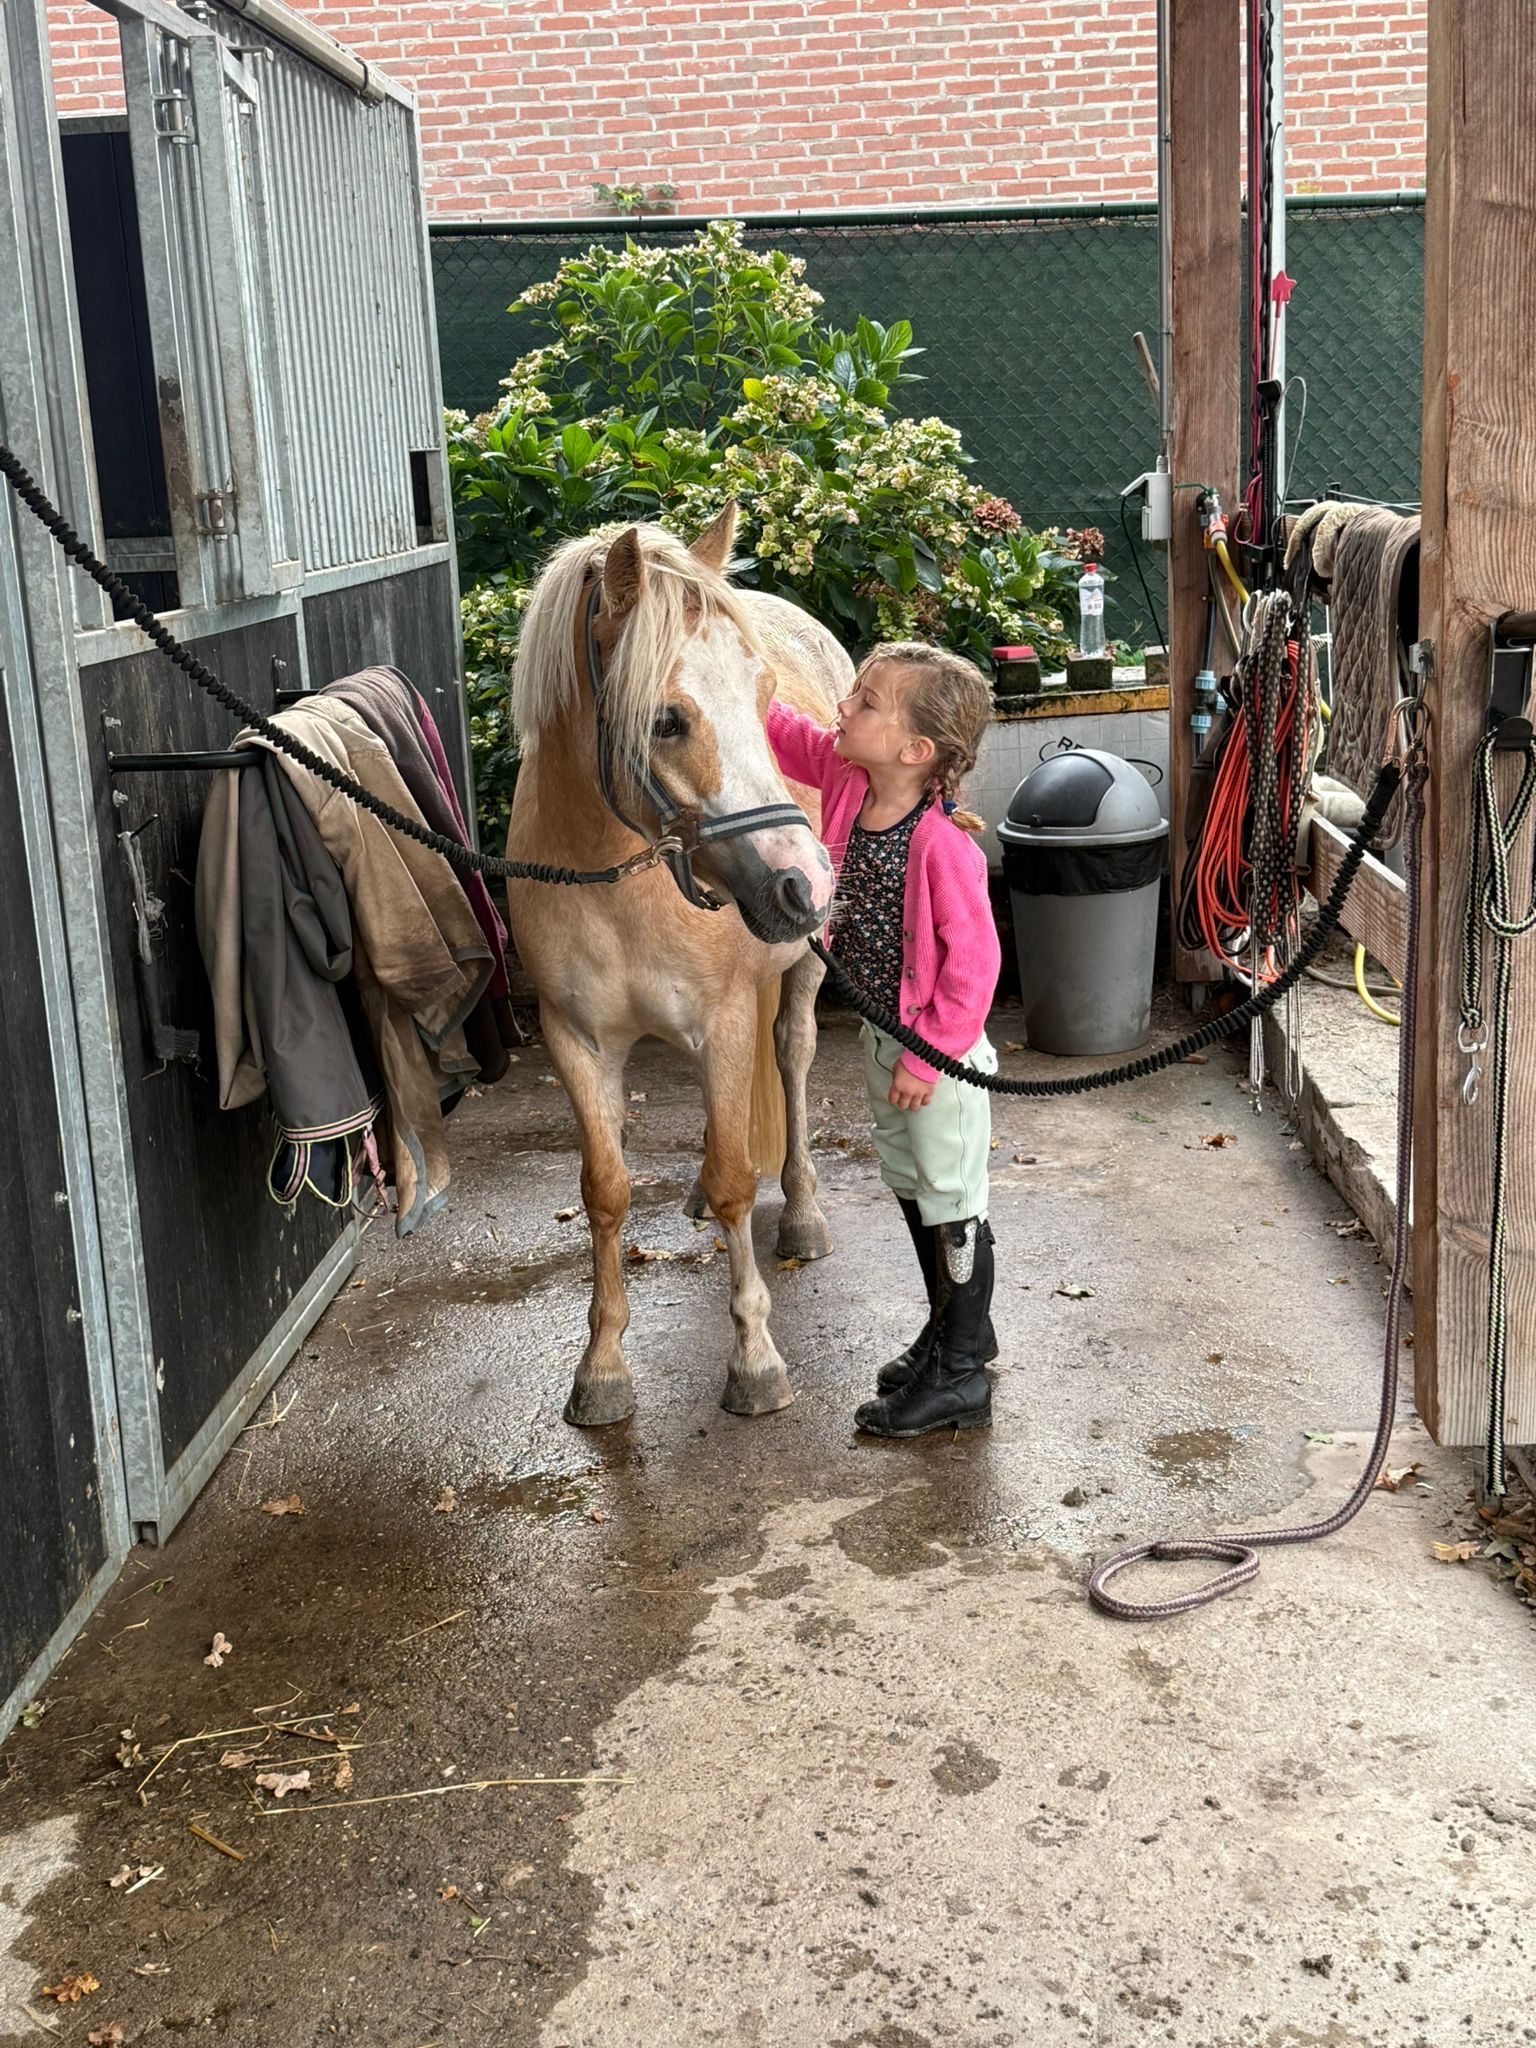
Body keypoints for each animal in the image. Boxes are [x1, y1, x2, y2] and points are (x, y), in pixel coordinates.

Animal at [503, 505, 852, 1427]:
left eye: (765, 700)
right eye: (666, 720)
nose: (804, 885)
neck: (612, 881)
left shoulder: (723, 1022)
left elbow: (736, 1180)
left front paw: (756, 1361)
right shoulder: (577, 1044)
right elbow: (605, 1190)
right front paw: (601, 1369)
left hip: (802, 973)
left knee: (792, 1056)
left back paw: (802, 1213)